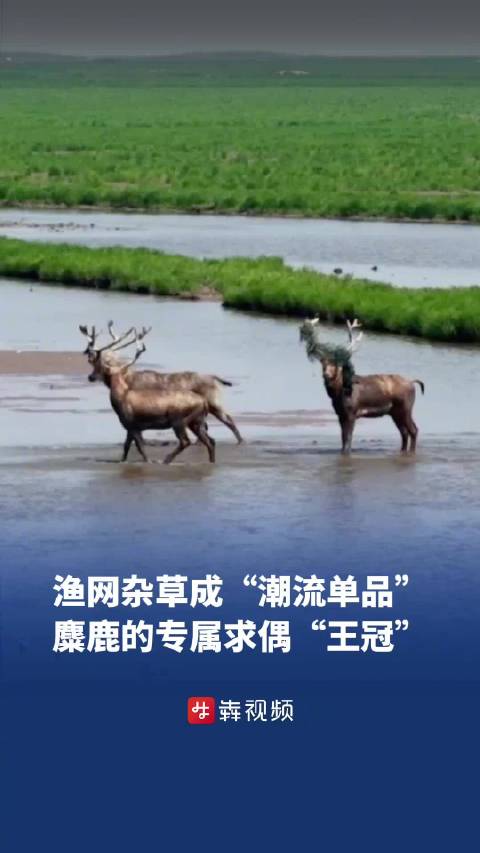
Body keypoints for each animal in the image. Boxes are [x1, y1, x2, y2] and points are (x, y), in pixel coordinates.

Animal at [80, 324, 215, 464]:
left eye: (99, 367)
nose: (90, 377)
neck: (121, 397)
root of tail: (204, 402)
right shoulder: (130, 427)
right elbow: (126, 446)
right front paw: (122, 461)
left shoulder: (132, 424)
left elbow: (140, 447)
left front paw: (149, 461)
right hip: (196, 421)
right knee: (209, 441)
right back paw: (211, 461)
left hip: (179, 420)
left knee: (186, 441)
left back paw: (166, 460)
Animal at [83, 321, 243, 444]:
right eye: (93, 364)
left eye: (102, 365)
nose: (90, 377)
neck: (126, 379)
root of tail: (215, 378)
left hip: (214, 402)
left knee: (229, 420)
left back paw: (240, 441)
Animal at [299, 317, 424, 454]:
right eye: (323, 363)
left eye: (337, 364)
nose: (326, 374)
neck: (339, 393)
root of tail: (413, 382)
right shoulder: (340, 414)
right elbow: (343, 438)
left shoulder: (351, 412)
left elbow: (348, 439)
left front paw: (346, 453)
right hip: (395, 412)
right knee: (404, 432)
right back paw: (402, 451)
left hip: (406, 407)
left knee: (413, 430)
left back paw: (411, 452)